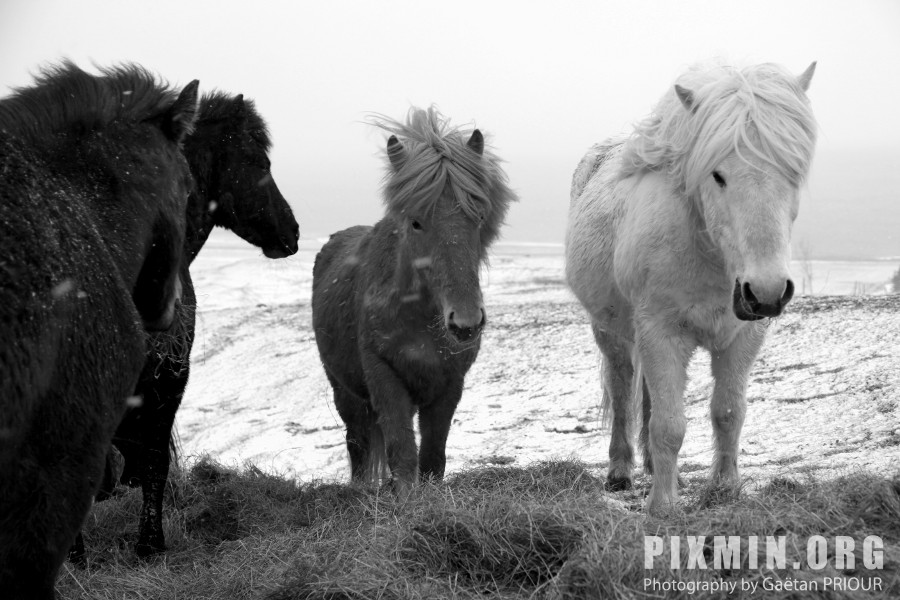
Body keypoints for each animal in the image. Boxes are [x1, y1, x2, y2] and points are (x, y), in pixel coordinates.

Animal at [568, 61, 816, 512]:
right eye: (717, 175)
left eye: (794, 171)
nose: (766, 291)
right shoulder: (662, 334)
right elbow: (669, 425)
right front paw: (663, 507)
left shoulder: (743, 336)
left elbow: (728, 412)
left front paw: (725, 487)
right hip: (611, 332)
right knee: (621, 388)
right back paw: (621, 472)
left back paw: (654, 469)